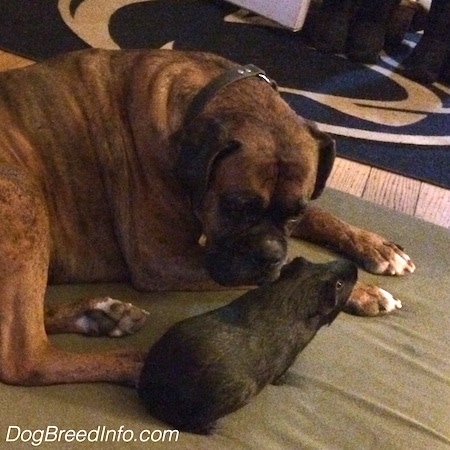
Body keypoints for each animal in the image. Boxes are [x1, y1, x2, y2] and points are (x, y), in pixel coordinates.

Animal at [0, 50, 414, 386]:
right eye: (235, 206)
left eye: (294, 213)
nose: (269, 252)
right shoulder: (163, 261)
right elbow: (287, 273)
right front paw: (359, 291)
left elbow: (321, 216)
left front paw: (375, 247)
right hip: (24, 194)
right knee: (25, 358)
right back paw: (146, 368)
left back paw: (99, 315)